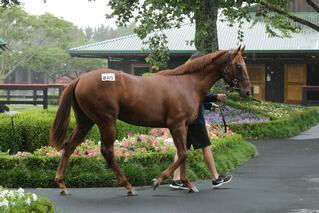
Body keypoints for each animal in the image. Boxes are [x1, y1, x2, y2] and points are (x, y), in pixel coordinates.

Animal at [50, 46, 251, 195]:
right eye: (239, 66)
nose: (247, 91)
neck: (186, 83)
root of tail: (80, 78)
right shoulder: (176, 125)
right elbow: (183, 154)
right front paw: (158, 180)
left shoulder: (185, 126)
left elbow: (183, 154)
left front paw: (187, 183)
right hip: (106, 121)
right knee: (107, 151)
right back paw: (128, 186)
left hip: (85, 122)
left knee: (69, 146)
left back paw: (62, 184)